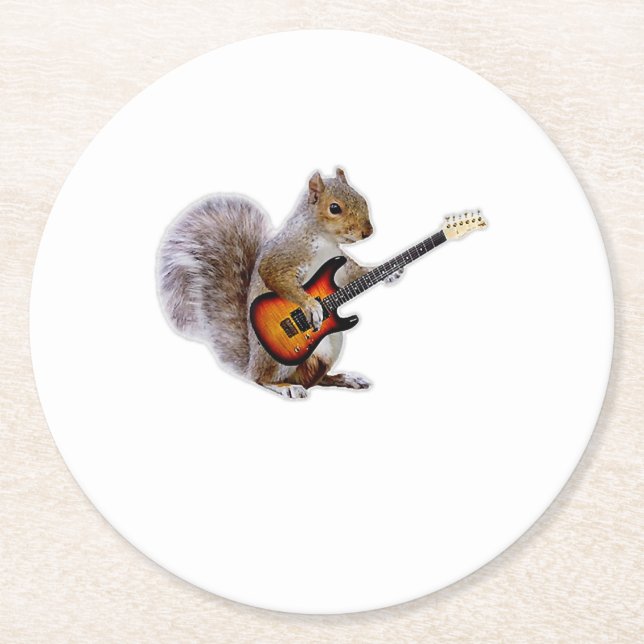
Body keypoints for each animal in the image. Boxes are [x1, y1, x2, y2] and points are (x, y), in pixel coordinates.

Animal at [157, 168, 403, 399]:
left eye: (362, 199)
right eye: (335, 208)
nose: (368, 231)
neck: (324, 240)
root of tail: (251, 364)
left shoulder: (341, 267)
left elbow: (356, 273)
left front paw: (388, 273)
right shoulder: (283, 257)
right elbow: (276, 277)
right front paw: (311, 306)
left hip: (332, 346)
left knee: (317, 379)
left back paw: (345, 378)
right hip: (274, 360)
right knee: (262, 379)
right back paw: (286, 387)